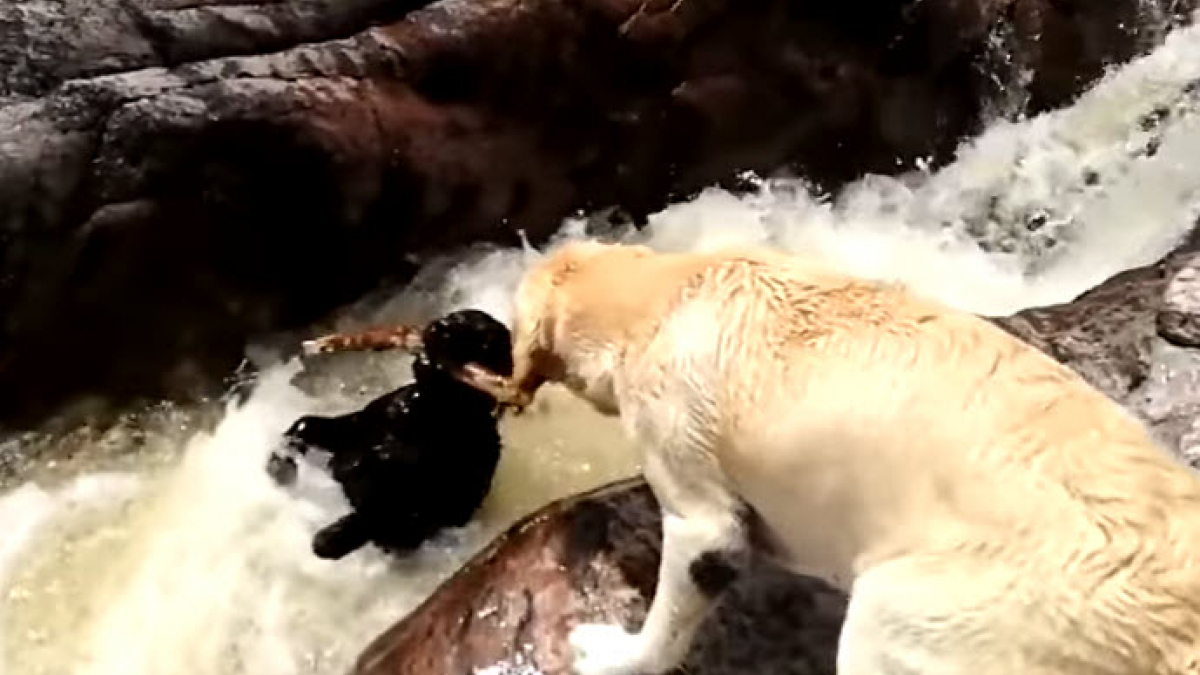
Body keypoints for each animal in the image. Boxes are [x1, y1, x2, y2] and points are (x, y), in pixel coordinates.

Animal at [270, 309, 513, 557]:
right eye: (453, 317)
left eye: (481, 336)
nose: (437, 326)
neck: (427, 407)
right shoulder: (374, 415)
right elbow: (311, 427)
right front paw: (281, 464)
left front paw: (331, 537)